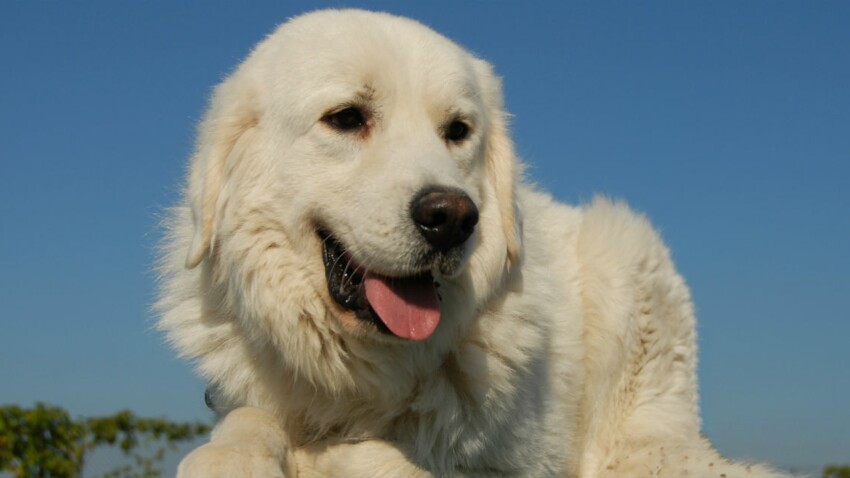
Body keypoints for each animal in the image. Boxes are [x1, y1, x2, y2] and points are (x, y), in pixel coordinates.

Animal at [156, 8, 792, 478]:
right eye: (347, 118)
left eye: (457, 131)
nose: (453, 217)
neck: (363, 379)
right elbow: (248, 421)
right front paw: (233, 454)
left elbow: (386, 461)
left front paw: (331, 453)